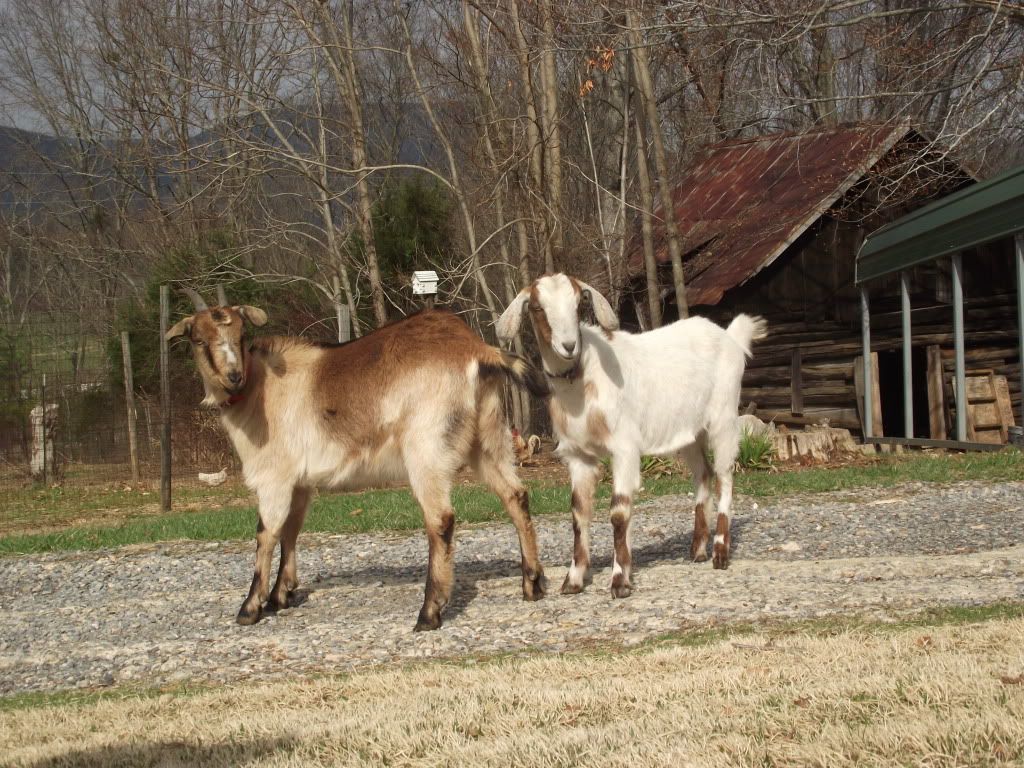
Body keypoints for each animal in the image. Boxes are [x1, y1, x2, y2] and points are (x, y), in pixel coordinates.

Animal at [166, 290, 548, 631]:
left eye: (241, 335)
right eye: (198, 340)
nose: (233, 377)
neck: (261, 387)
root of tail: (475, 349)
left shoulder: (273, 475)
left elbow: (267, 533)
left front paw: (250, 607)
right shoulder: (300, 483)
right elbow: (291, 530)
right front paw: (281, 595)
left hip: (427, 446)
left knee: (440, 518)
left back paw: (429, 613)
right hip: (487, 436)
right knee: (515, 495)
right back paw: (532, 584)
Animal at [497, 273, 766, 597]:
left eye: (579, 304)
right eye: (537, 307)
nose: (569, 345)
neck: (583, 379)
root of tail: (730, 338)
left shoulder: (624, 447)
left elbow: (619, 512)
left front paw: (620, 581)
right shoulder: (578, 456)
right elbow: (578, 513)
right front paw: (574, 580)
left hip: (723, 417)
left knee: (725, 475)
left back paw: (720, 552)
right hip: (689, 431)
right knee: (704, 473)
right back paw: (698, 550)